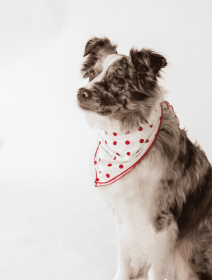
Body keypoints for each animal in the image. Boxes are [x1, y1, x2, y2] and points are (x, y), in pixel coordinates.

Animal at [77, 37, 212, 280]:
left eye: (117, 79)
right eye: (92, 73)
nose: (81, 92)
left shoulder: (159, 217)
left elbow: (156, 266)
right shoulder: (123, 212)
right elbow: (123, 253)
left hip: (190, 248)